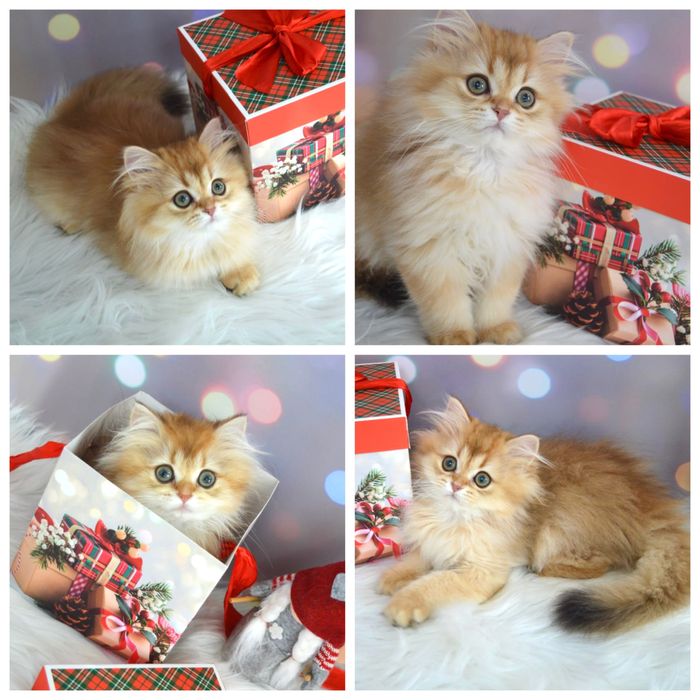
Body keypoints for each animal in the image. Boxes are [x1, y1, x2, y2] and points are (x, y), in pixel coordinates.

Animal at [26, 67, 260, 294]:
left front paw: (240, 274)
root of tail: (72, 113)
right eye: (182, 199)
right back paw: (69, 224)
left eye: (218, 187)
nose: (210, 209)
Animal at [356, 12, 579, 344]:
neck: (482, 169)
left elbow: (497, 298)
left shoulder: (508, 244)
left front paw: (495, 331)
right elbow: (445, 301)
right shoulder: (429, 247)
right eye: (477, 84)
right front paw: (455, 337)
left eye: (525, 98)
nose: (501, 110)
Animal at [379, 396, 689, 633]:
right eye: (449, 463)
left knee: (602, 563)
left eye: (482, 480)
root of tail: (649, 501)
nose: (455, 486)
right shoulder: (431, 541)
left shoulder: (483, 571)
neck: (455, 520)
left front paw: (404, 603)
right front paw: (393, 578)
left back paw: (543, 570)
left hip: (559, 527)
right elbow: (417, 558)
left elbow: (436, 581)